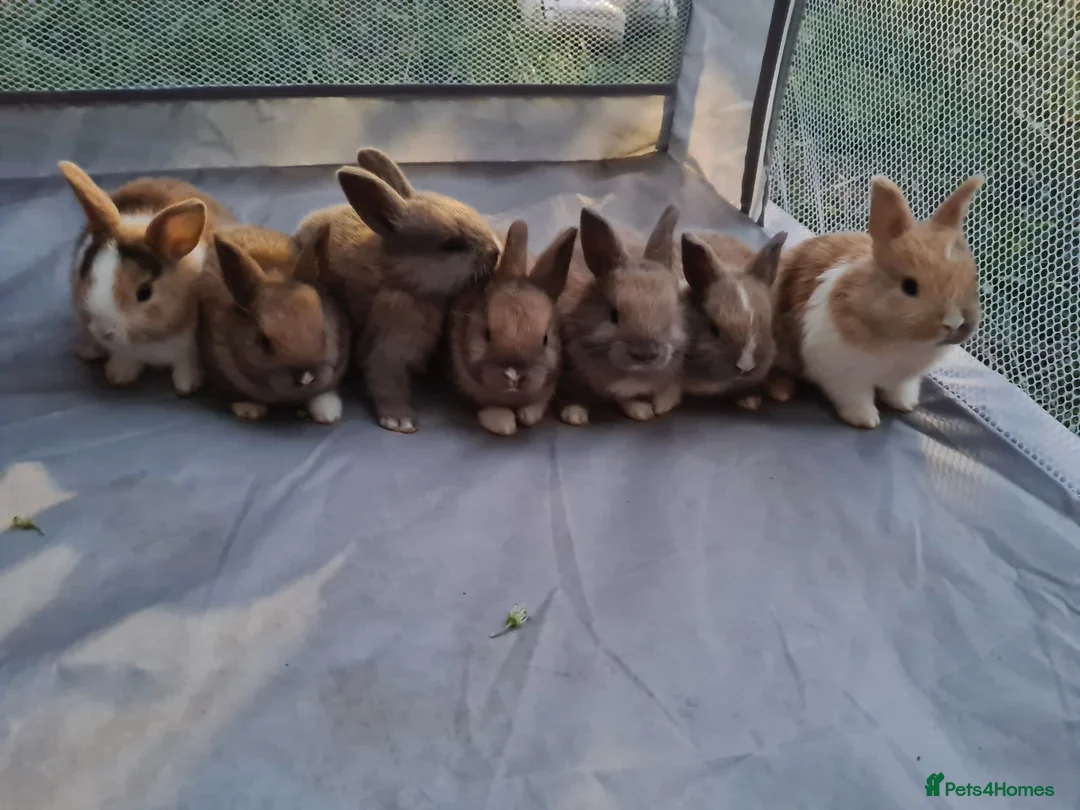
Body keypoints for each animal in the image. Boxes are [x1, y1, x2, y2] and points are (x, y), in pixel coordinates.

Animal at [59, 161, 234, 395]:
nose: (104, 331)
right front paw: (119, 376)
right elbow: (124, 358)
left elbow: (186, 363)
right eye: (84, 273)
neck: (148, 340)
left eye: (144, 292)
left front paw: (187, 386)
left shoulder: (189, 348)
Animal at [295, 149, 502, 434]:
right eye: (452, 244)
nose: (496, 252)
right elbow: (386, 380)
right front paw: (400, 421)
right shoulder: (390, 340)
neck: (399, 278)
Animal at [448, 219, 578, 436]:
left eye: (545, 339)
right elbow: (487, 407)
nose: (513, 376)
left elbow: (537, 403)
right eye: (487, 334)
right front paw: (503, 424)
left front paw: (528, 416)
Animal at [556, 204, 687, 425]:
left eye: (671, 312)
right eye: (614, 315)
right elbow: (585, 395)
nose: (644, 354)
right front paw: (575, 415)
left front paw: (651, 408)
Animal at [770, 175, 983, 428]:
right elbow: (856, 398)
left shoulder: (904, 379)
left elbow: (899, 391)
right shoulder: (843, 374)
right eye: (909, 286)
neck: (901, 342)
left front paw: (906, 405)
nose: (954, 323)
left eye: (973, 278)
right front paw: (867, 420)